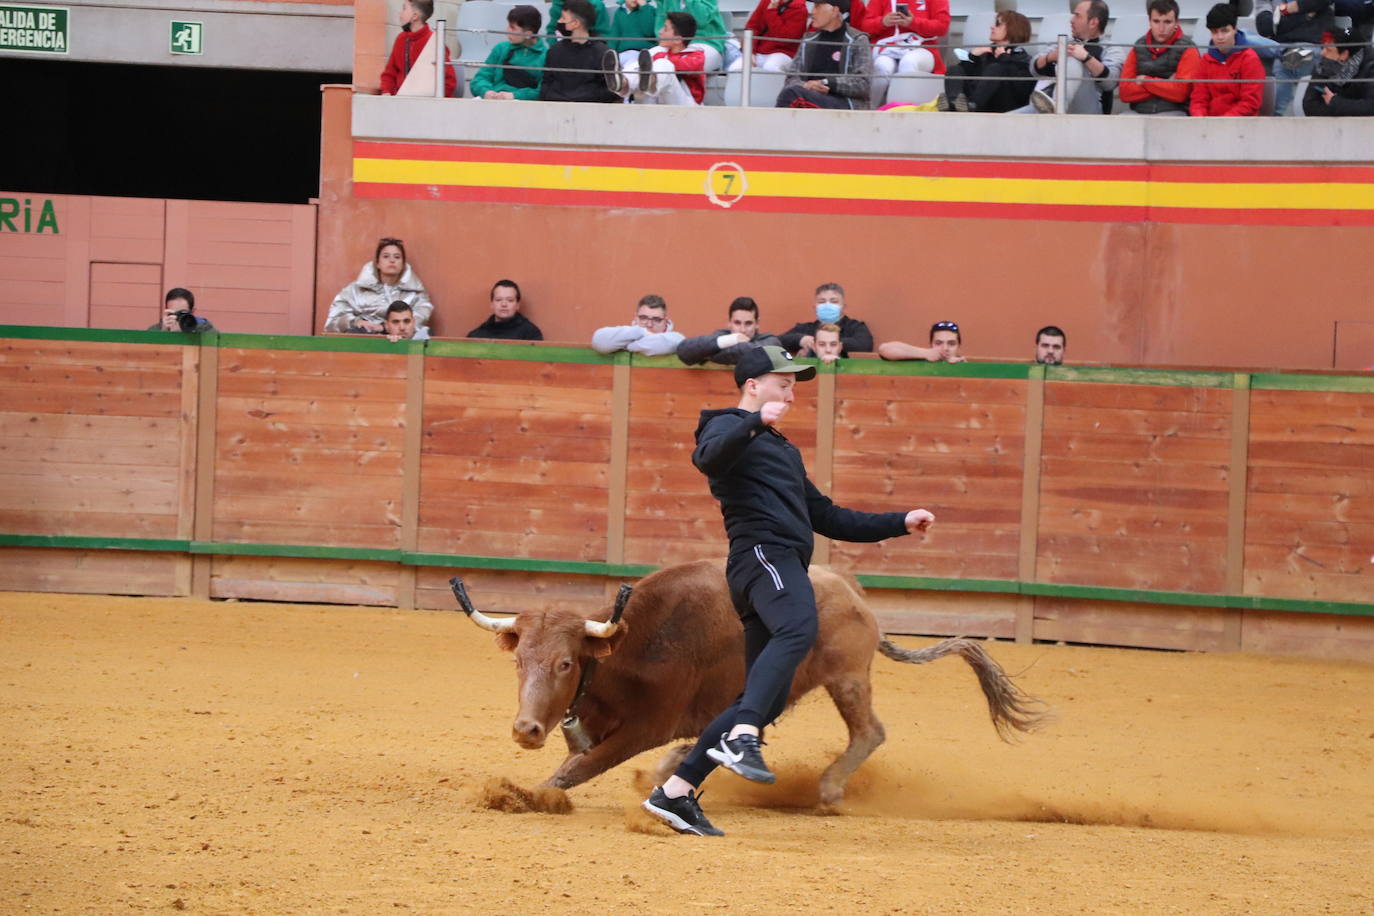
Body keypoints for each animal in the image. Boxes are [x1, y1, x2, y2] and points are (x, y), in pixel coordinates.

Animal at [456, 554, 1044, 807]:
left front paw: (524, 795)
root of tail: (851, 588)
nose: (526, 730)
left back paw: (829, 790)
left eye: (565, 664)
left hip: (847, 677)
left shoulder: (645, 727)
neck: (627, 648)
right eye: (519, 660)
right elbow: (578, 757)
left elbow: (576, 769)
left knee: (870, 732)